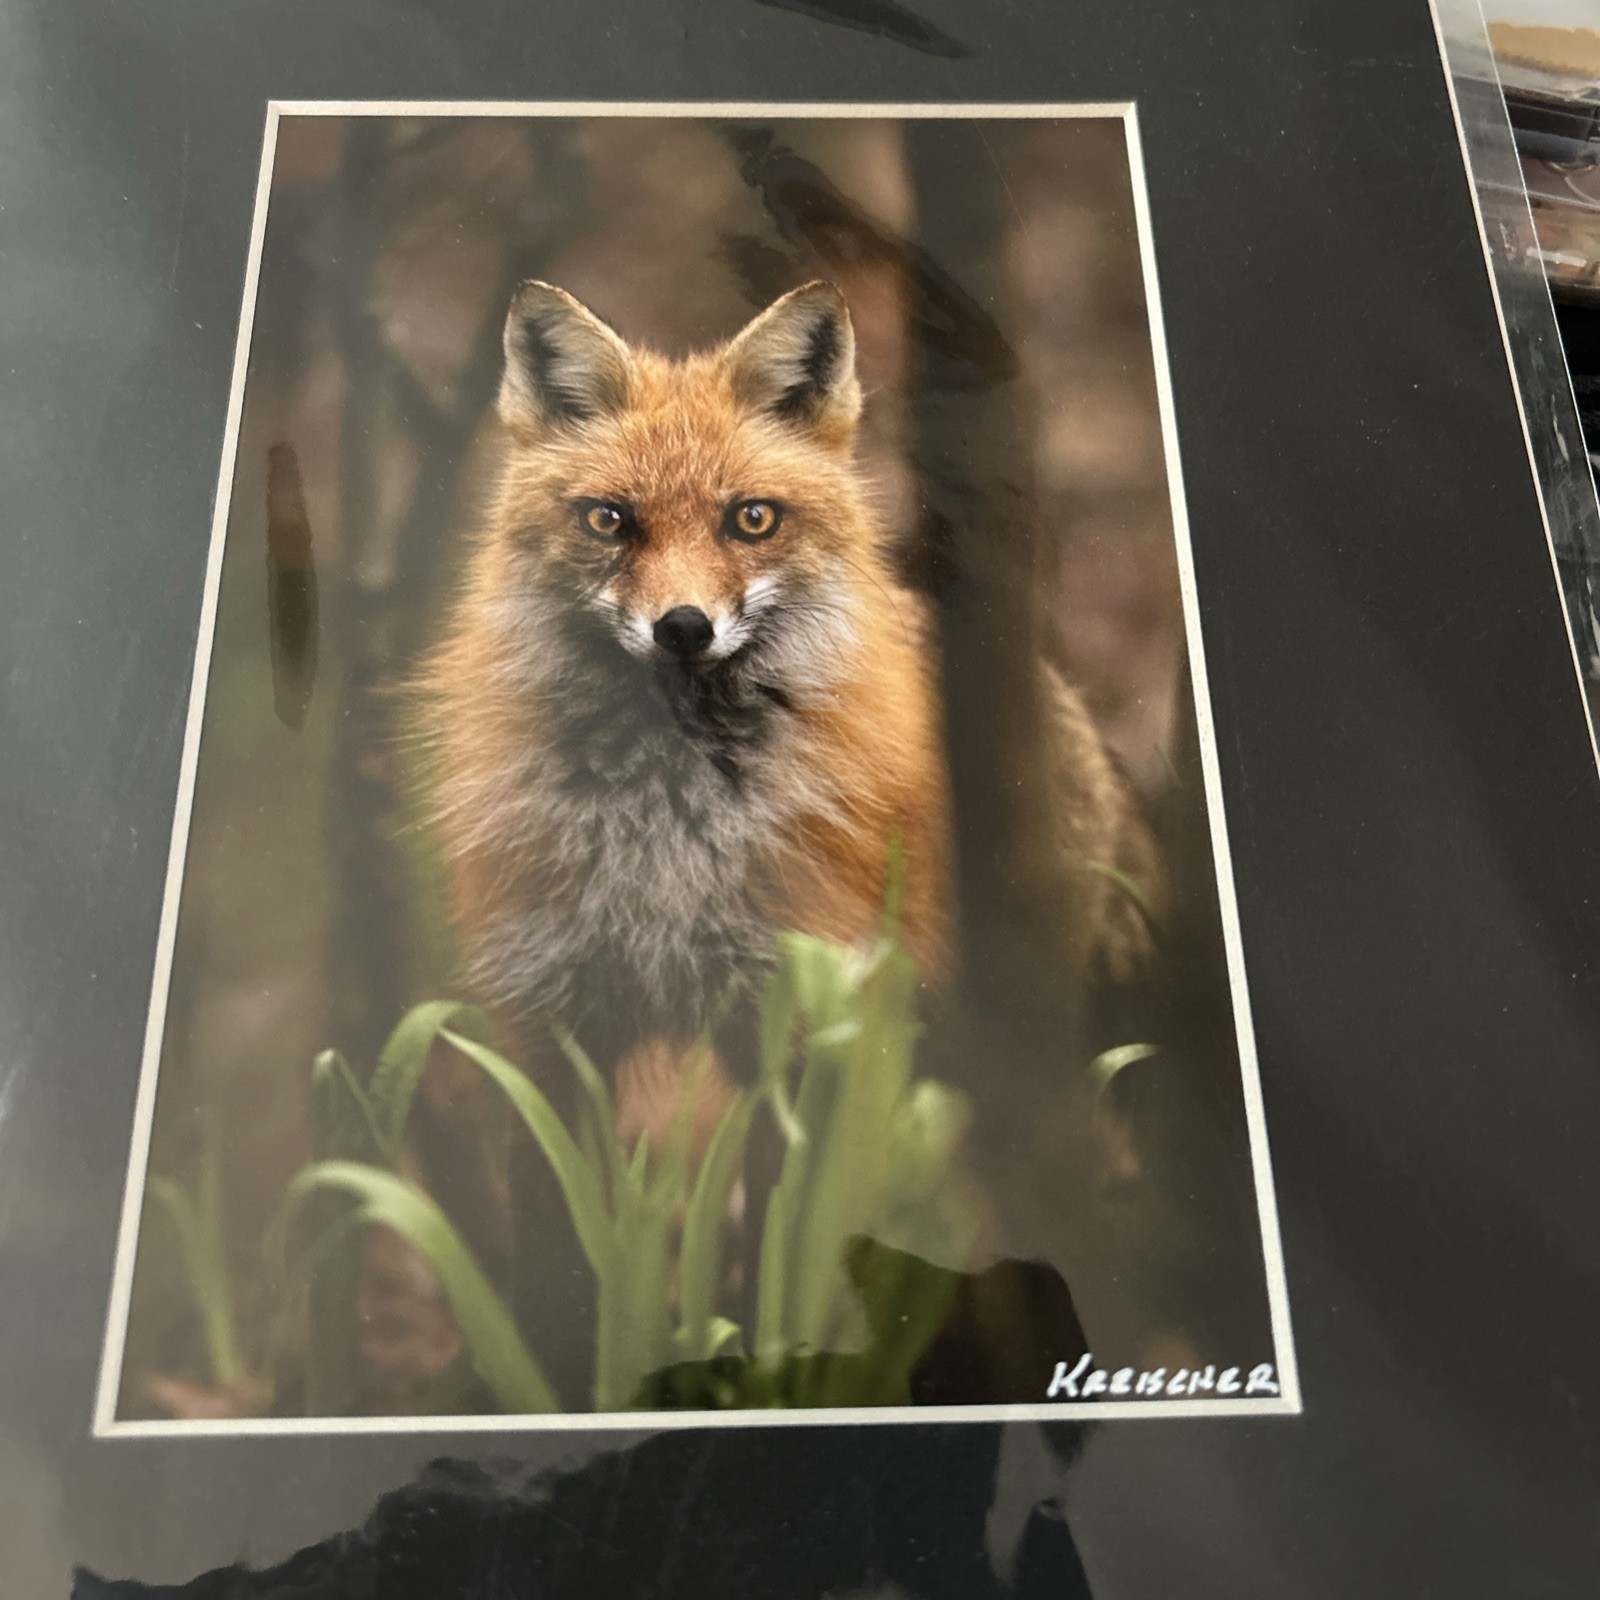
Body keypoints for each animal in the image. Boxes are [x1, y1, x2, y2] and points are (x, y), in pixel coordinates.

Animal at [420, 278, 1159, 1145]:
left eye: (752, 518)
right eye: (608, 519)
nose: (683, 626)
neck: (665, 833)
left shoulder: (798, 1013)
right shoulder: (546, 1021)